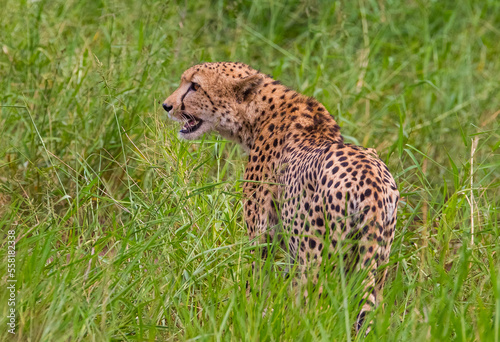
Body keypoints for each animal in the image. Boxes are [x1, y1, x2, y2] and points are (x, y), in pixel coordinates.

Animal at [163, 62, 398, 332]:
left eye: (195, 86)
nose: (167, 106)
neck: (257, 114)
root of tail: (371, 182)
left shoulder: (262, 234)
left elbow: (255, 279)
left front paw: (248, 316)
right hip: (375, 264)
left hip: (317, 262)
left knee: (313, 309)